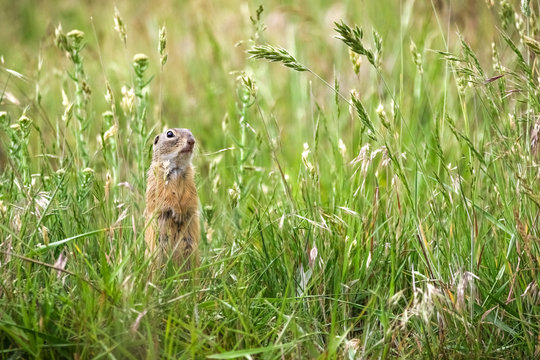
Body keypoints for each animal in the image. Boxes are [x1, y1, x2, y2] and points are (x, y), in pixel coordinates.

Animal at [144, 128, 199, 268]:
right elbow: (165, 198)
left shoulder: (190, 180)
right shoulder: (158, 181)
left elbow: (190, 196)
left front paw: (183, 212)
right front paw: (178, 212)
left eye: (190, 131)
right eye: (169, 134)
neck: (177, 168)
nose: (192, 141)